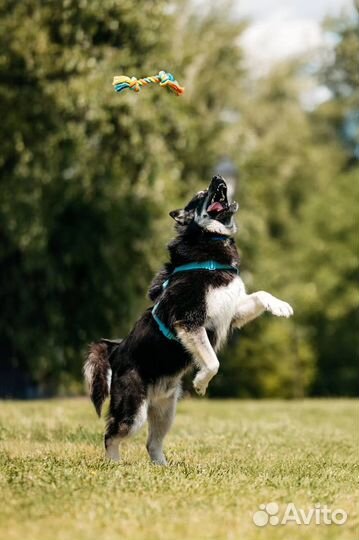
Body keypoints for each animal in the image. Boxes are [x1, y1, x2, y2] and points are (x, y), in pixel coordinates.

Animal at [85, 175, 296, 462]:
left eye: (207, 187)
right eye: (201, 194)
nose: (218, 178)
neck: (210, 244)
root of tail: (114, 351)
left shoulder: (231, 311)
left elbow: (261, 295)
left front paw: (281, 306)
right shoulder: (190, 320)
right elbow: (213, 362)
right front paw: (200, 382)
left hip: (166, 408)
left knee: (151, 443)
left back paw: (163, 467)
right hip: (133, 411)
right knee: (111, 435)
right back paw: (115, 465)